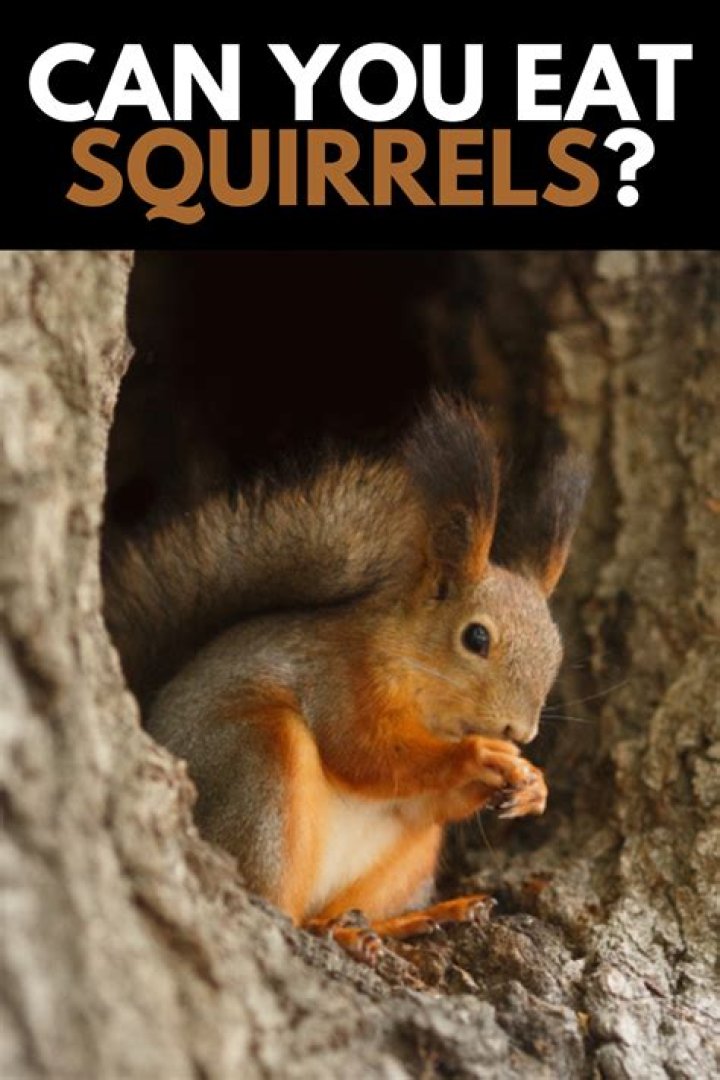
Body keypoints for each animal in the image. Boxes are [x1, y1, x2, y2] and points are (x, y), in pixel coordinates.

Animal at [103, 394, 588, 960]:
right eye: (475, 637)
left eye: (556, 652)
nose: (520, 731)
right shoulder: (341, 677)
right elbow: (365, 753)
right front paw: (476, 756)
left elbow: (432, 799)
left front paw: (533, 784)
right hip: (258, 767)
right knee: (284, 907)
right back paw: (339, 931)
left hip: (408, 857)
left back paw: (410, 918)